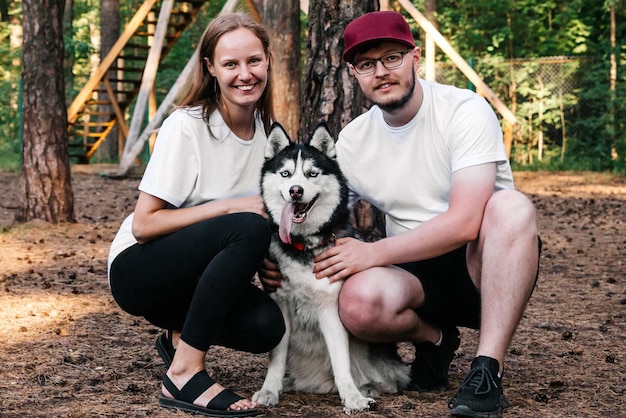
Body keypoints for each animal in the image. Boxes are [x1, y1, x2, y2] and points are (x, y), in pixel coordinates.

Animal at [251, 122, 408, 414]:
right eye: (286, 174)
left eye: (312, 174)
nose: (296, 190)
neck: (303, 244)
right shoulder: (282, 305)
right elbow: (276, 358)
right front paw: (269, 390)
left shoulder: (329, 309)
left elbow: (341, 361)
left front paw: (352, 397)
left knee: (389, 379)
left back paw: (367, 386)